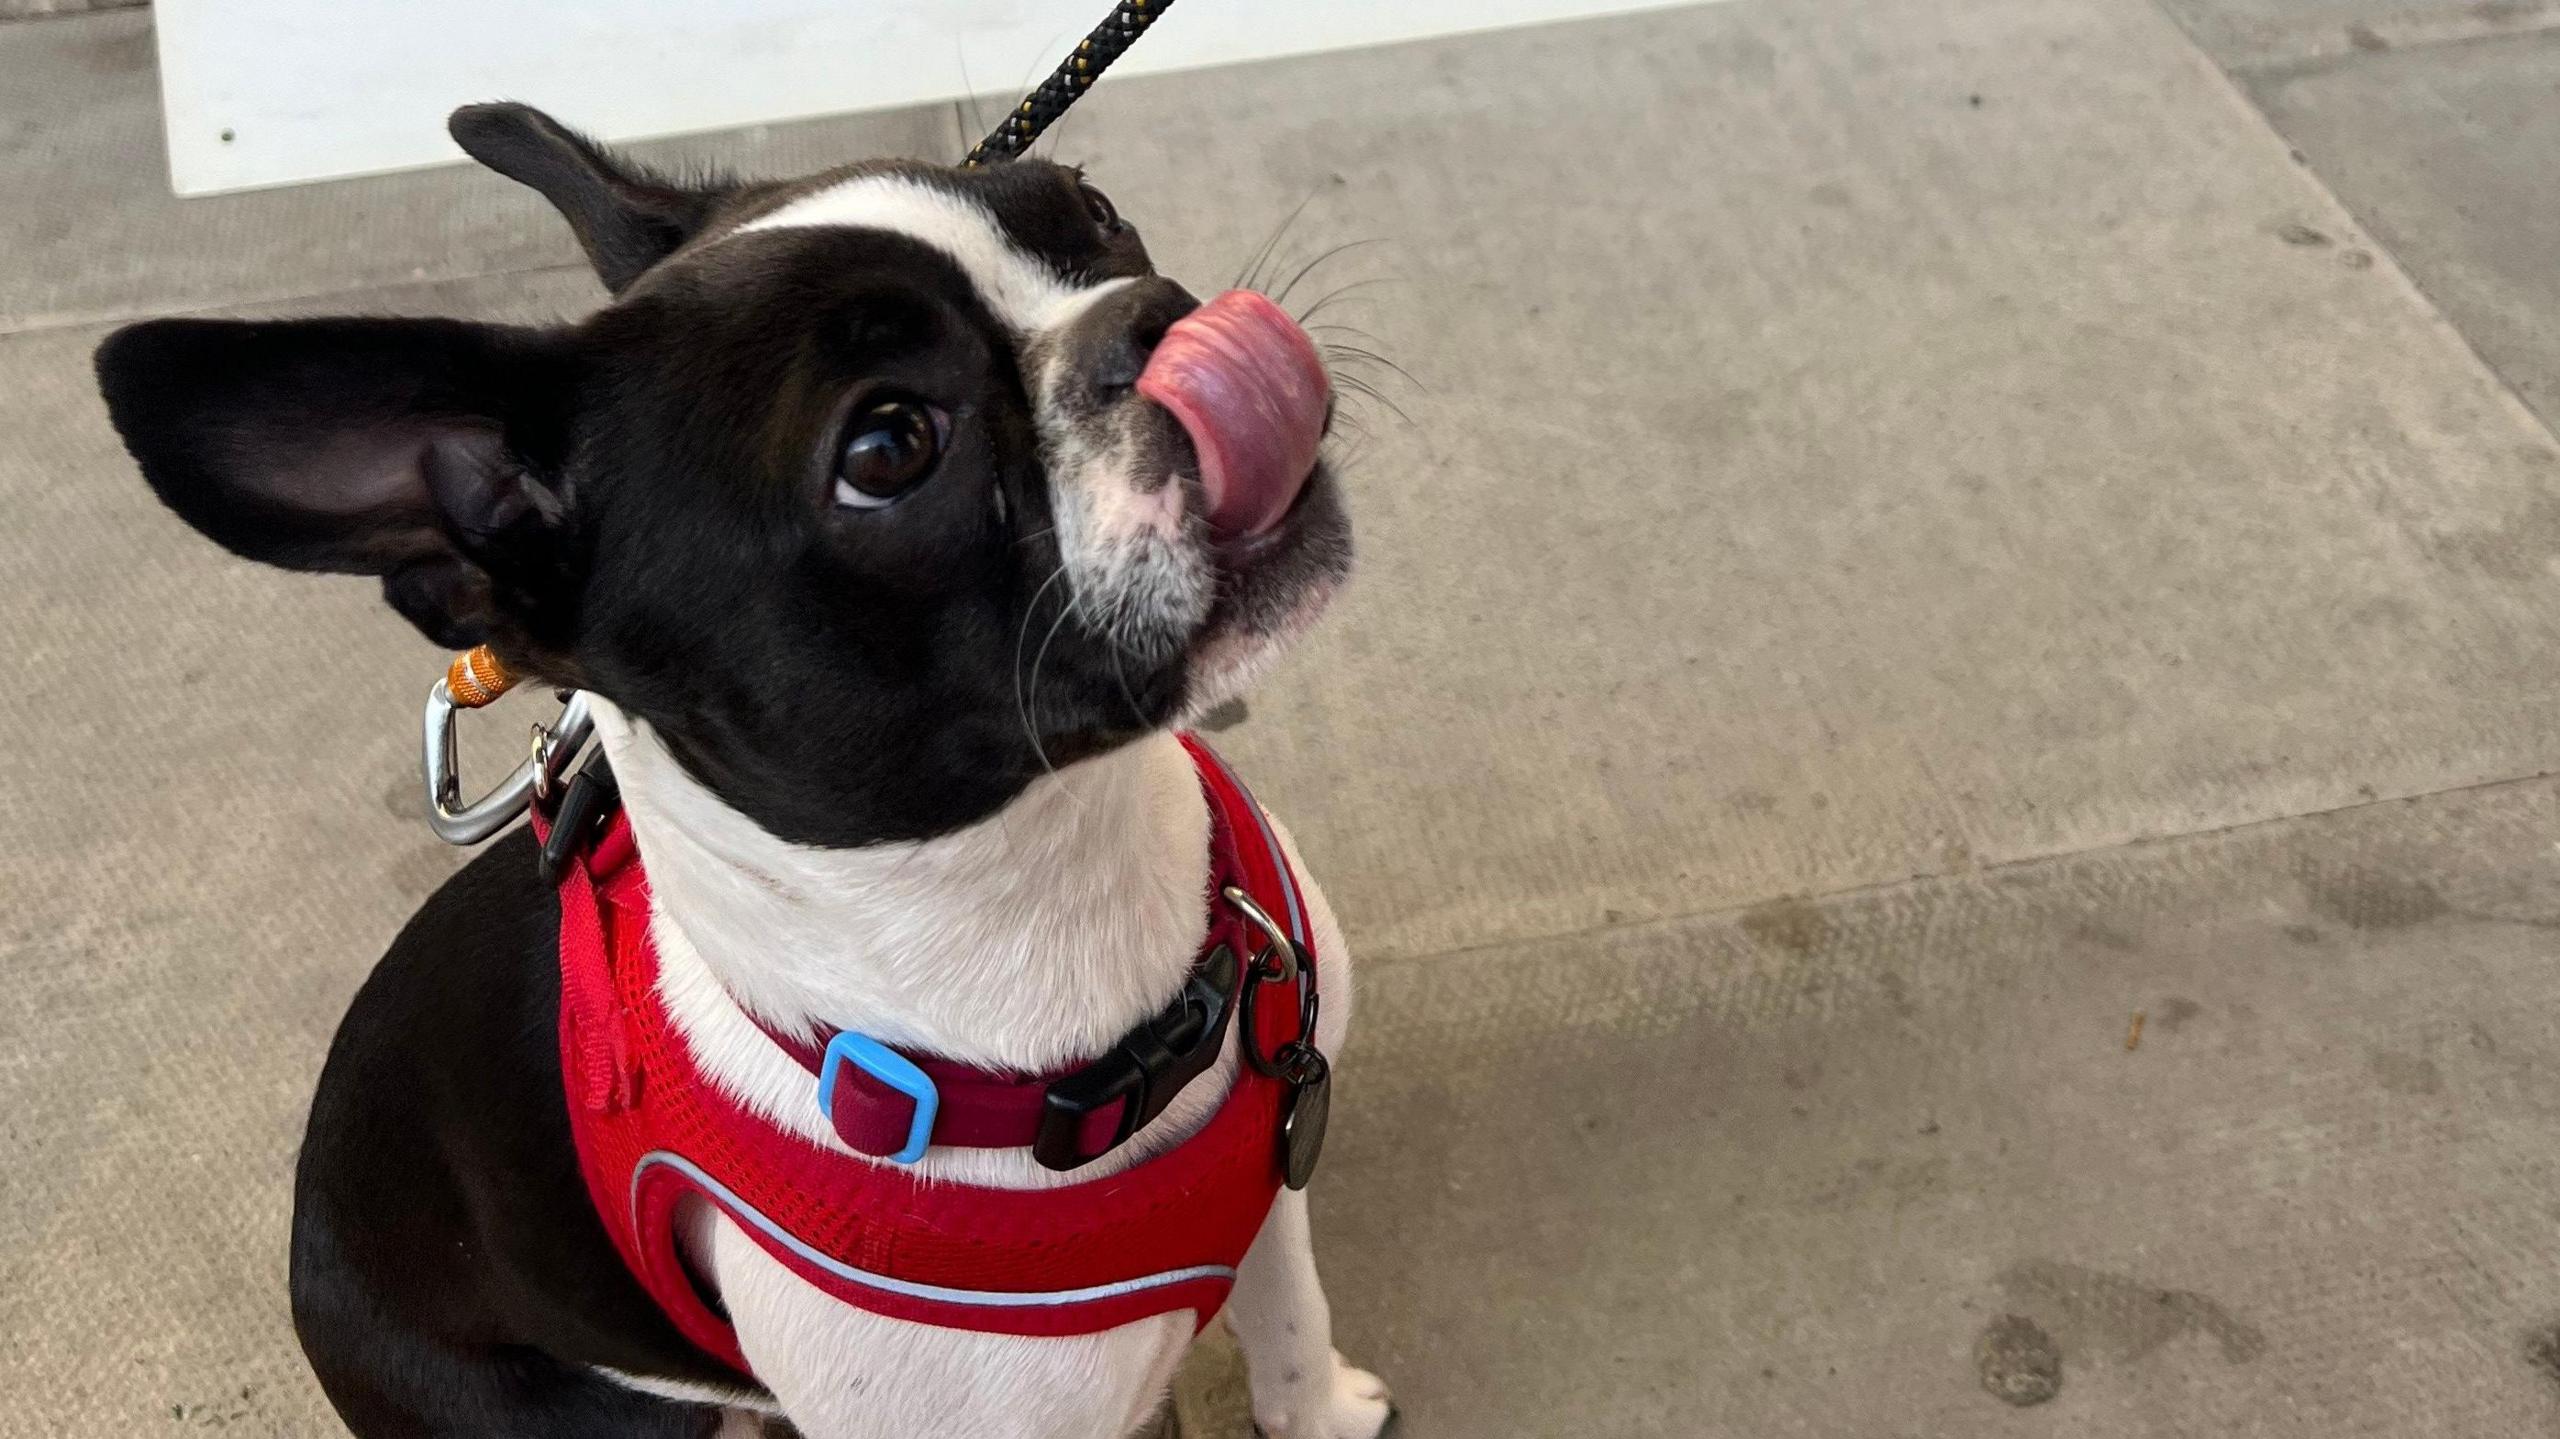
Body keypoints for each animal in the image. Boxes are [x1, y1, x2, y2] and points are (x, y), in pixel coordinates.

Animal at [99, 103, 1392, 1433]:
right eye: (888, 444)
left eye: (1090, 210)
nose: (1152, 315)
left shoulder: (1277, 1162)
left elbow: (1289, 1313)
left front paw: (1323, 1410)